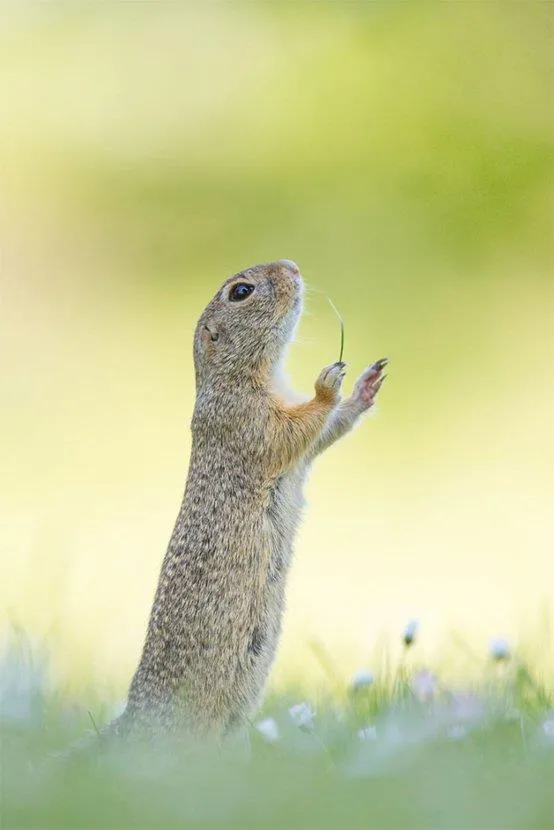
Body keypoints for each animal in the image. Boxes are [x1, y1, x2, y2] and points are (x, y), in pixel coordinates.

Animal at [116, 260, 384, 740]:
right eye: (240, 292)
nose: (293, 266)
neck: (246, 374)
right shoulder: (246, 417)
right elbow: (293, 431)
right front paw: (328, 384)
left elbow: (322, 434)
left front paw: (364, 387)